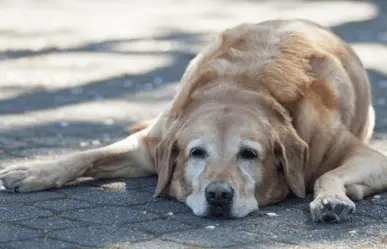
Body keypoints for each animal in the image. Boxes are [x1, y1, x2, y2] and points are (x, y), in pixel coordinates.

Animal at [0, 19, 387, 222]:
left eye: (249, 154)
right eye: (196, 153)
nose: (218, 195)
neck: (241, 88)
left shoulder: (368, 156)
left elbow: (326, 174)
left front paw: (330, 199)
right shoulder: (150, 145)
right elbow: (86, 155)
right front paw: (34, 170)